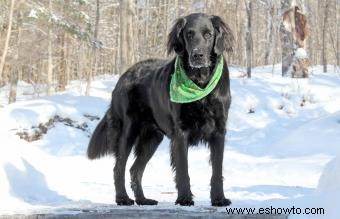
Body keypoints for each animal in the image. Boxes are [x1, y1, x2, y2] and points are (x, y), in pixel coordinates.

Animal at [87, 12, 234, 206]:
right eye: (189, 34)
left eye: (208, 34)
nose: (198, 55)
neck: (200, 82)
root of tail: (123, 76)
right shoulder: (181, 132)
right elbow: (183, 169)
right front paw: (184, 199)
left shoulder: (219, 130)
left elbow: (217, 171)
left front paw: (219, 199)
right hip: (129, 130)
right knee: (119, 167)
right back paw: (123, 198)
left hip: (152, 137)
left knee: (135, 170)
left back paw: (143, 199)